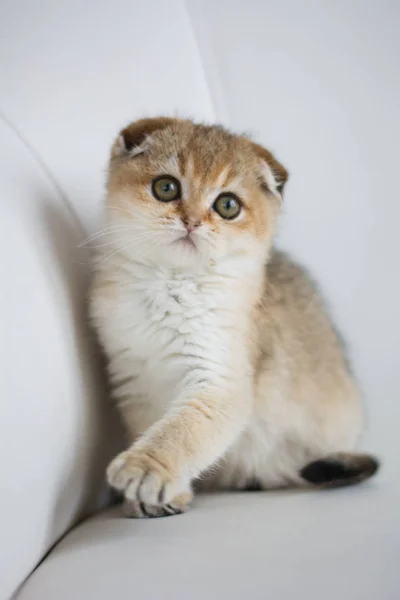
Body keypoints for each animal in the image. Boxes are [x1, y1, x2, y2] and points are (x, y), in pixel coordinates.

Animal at [90, 117, 378, 516]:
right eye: (166, 187)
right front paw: (161, 498)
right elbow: (152, 427)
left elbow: (180, 433)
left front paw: (144, 470)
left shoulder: (221, 381)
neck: (170, 284)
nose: (192, 222)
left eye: (227, 205)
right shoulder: (133, 382)